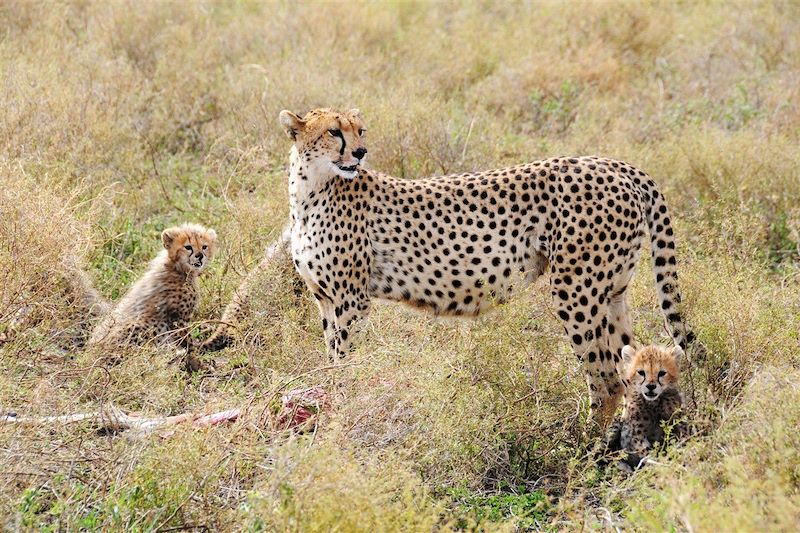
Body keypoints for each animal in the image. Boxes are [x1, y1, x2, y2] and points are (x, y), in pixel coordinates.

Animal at [270, 108, 700, 424]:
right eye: (334, 132)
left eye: (359, 130)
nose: (360, 153)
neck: (310, 190)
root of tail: (616, 164)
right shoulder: (326, 299)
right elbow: (331, 358)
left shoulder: (351, 300)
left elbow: (344, 360)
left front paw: (342, 405)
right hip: (612, 291)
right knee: (631, 369)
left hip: (576, 290)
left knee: (607, 380)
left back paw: (587, 447)